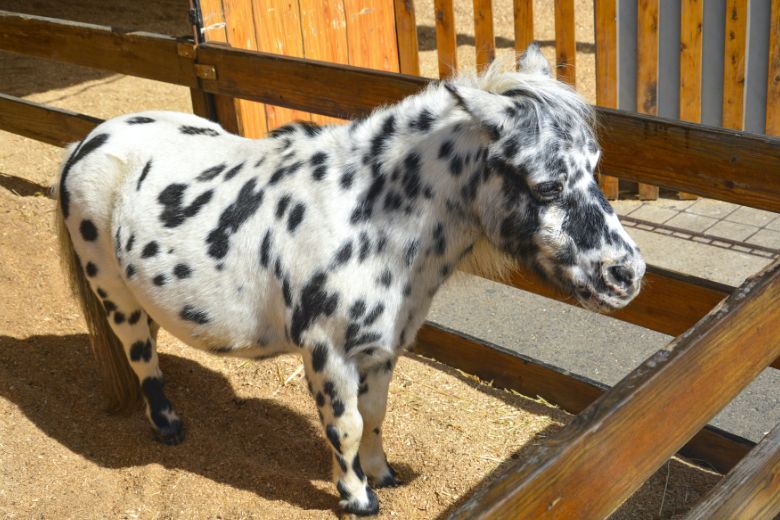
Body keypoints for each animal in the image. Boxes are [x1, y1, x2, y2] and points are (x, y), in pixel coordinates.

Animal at [54, 44, 645, 515]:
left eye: (594, 164)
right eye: (547, 186)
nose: (627, 274)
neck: (366, 221)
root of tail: (88, 140)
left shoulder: (381, 349)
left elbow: (375, 415)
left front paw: (383, 474)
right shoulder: (327, 352)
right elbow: (346, 425)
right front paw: (359, 498)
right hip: (114, 294)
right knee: (139, 354)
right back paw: (168, 425)